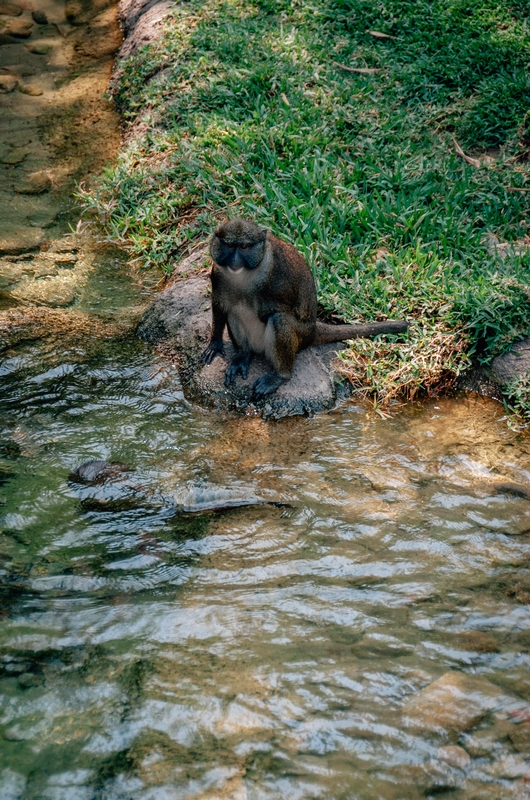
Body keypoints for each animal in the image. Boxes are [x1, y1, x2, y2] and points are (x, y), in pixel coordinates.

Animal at [200, 217, 406, 400]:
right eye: (229, 245)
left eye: (243, 247)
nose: (234, 261)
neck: (246, 274)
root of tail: (313, 328)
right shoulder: (217, 273)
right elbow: (220, 306)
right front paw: (215, 344)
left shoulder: (277, 274)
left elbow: (279, 308)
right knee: (235, 312)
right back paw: (243, 355)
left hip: (300, 335)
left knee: (280, 320)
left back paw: (280, 376)